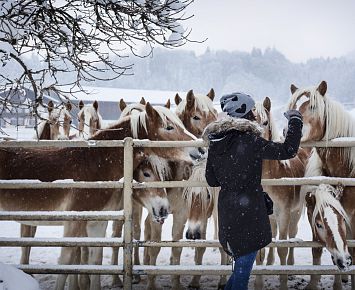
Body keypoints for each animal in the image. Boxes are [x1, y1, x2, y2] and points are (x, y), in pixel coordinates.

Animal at [0, 102, 196, 290]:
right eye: (169, 127)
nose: (197, 150)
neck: (94, 165)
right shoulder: (73, 223)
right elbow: (66, 263)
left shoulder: (97, 223)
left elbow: (96, 261)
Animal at [254, 98, 310, 290]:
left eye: (265, 122)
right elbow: (263, 249)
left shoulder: (284, 214)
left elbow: (283, 248)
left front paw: (284, 280)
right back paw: (270, 264)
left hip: (296, 213)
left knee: (291, 236)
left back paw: (290, 268)